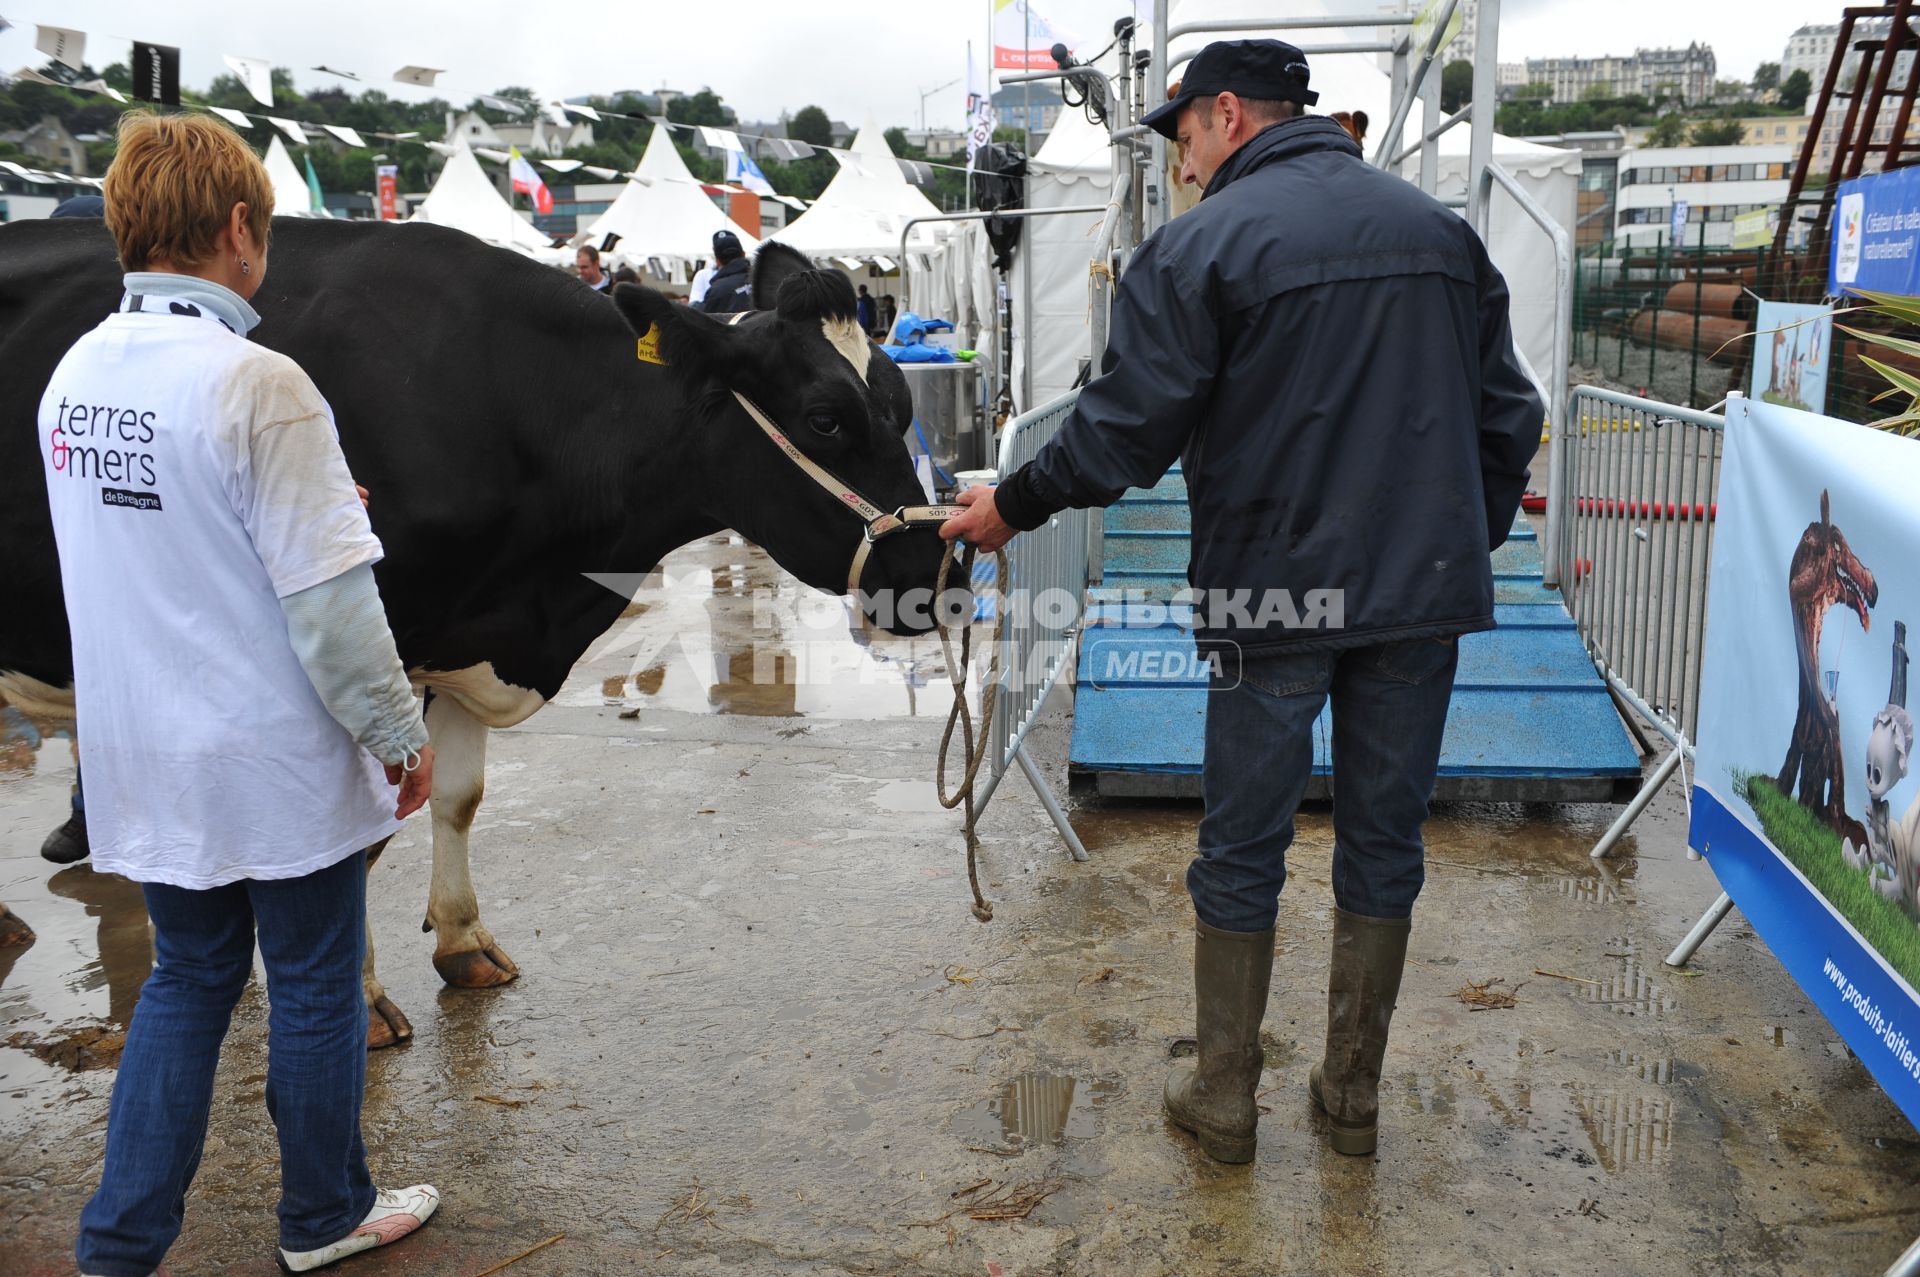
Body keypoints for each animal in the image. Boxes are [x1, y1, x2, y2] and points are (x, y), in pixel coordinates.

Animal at [0, 216, 960, 1036]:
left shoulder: (471, 632)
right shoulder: (373, 640)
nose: (937, 573)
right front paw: (363, 1000)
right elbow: (360, 842)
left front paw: (462, 943)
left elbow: (458, 796)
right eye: (825, 418)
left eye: (902, 404)